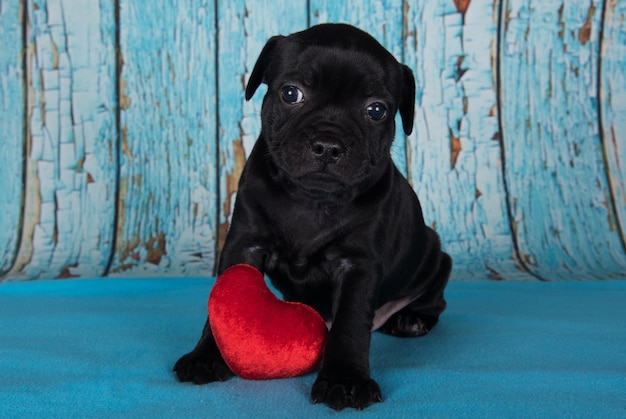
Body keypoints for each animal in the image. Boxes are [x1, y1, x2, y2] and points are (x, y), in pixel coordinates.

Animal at [173, 23, 450, 410]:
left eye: (376, 110)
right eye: (291, 93)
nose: (329, 144)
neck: (311, 199)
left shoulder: (358, 265)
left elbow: (350, 323)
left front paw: (346, 380)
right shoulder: (243, 246)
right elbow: (220, 305)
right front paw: (205, 356)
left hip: (435, 258)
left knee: (433, 299)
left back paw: (410, 319)